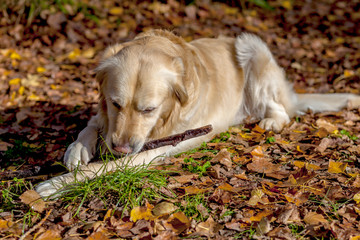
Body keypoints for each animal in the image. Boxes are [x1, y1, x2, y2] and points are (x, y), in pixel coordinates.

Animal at [35, 30, 360, 198]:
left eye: (149, 109)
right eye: (116, 104)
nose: (121, 147)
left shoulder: (157, 147)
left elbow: (104, 168)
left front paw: (55, 184)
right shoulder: (106, 115)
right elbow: (90, 126)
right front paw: (77, 150)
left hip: (251, 45)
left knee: (281, 109)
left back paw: (269, 120)